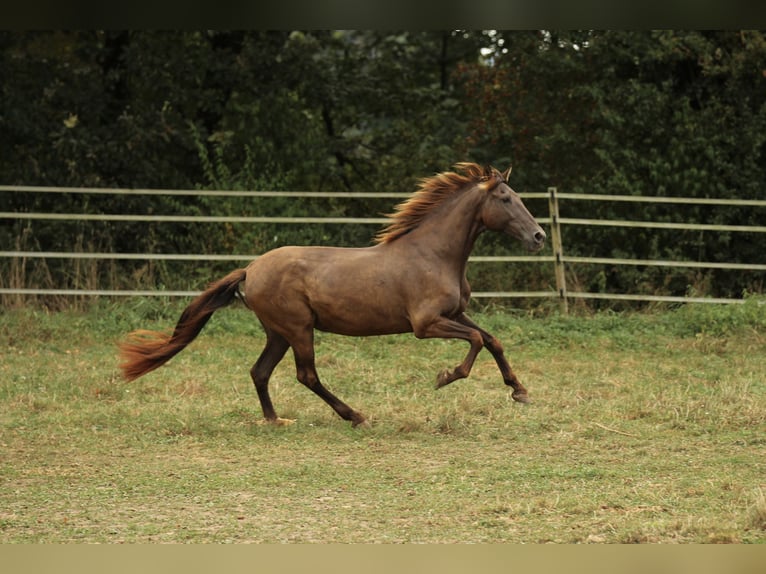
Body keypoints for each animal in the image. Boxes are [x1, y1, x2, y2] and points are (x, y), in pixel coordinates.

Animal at [118, 162, 544, 428]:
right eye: (505, 198)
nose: (539, 236)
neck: (434, 254)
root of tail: (250, 269)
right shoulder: (426, 325)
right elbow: (475, 341)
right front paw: (445, 377)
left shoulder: (455, 313)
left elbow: (492, 339)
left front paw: (520, 392)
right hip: (298, 329)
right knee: (306, 374)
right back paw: (356, 416)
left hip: (278, 333)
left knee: (260, 371)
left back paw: (275, 420)